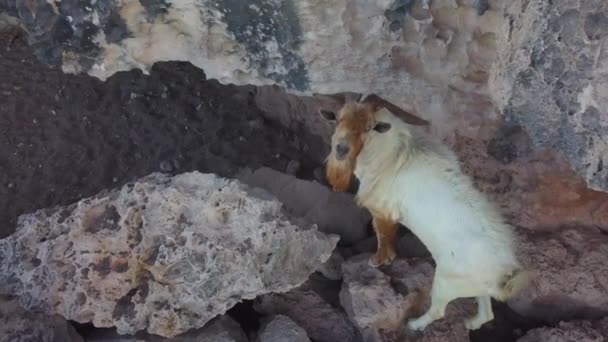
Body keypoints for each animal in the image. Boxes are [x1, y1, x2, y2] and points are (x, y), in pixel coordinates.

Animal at [316, 93, 528, 332]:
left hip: (445, 283)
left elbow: (383, 237)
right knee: (486, 313)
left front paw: (379, 261)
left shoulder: (382, 211)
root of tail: (505, 273)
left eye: (368, 127)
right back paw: (471, 323)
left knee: (438, 311)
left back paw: (414, 324)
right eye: (337, 119)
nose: (341, 150)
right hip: (477, 287)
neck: (392, 152)